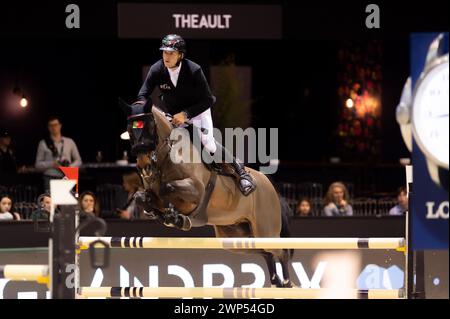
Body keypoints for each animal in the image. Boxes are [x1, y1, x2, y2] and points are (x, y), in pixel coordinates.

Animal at [121, 101, 294, 288]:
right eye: (129, 131)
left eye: (151, 127)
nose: (144, 167)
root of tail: (270, 185)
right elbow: (141, 197)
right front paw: (161, 213)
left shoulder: (196, 190)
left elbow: (166, 188)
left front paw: (174, 216)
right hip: (235, 238)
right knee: (265, 252)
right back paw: (277, 282)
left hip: (265, 230)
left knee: (281, 252)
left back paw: (287, 283)